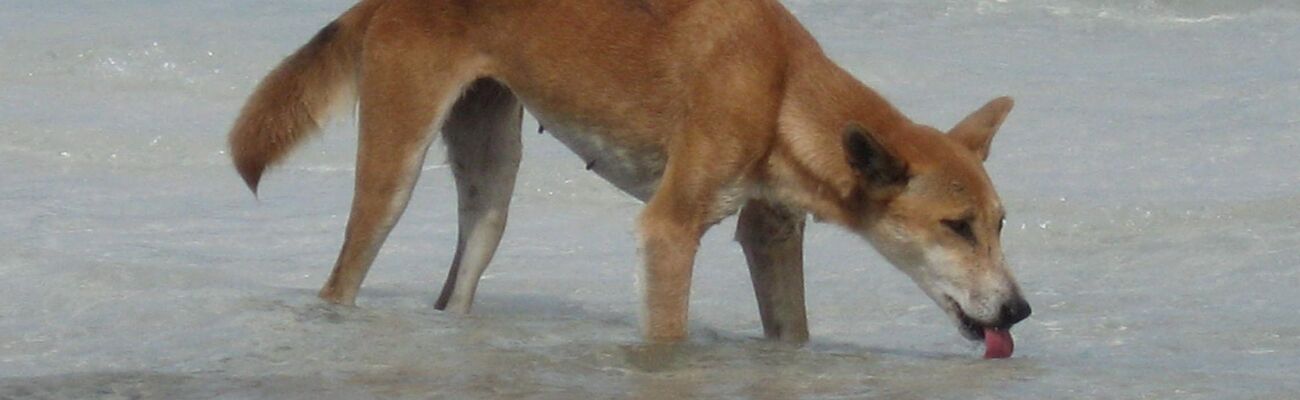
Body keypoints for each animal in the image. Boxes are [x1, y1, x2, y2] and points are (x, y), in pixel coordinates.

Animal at [228, 0, 1029, 345]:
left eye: (999, 224)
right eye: (956, 227)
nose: (1019, 310)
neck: (779, 85)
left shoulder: (771, 232)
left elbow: (791, 334)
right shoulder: (669, 229)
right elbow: (668, 337)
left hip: (492, 189)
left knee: (455, 290)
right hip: (392, 176)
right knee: (341, 281)